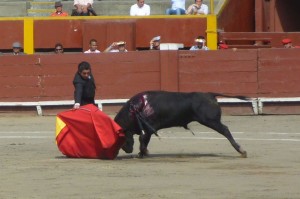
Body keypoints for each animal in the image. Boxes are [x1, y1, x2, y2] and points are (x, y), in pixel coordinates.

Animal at [113, 91, 247, 158]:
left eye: (120, 137)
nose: (127, 150)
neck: (135, 109)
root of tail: (210, 94)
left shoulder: (149, 128)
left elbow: (142, 139)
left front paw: (141, 153)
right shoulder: (149, 130)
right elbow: (145, 140)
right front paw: (144, 152)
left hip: (210, 121)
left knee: (225, 130)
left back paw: (241, 150)